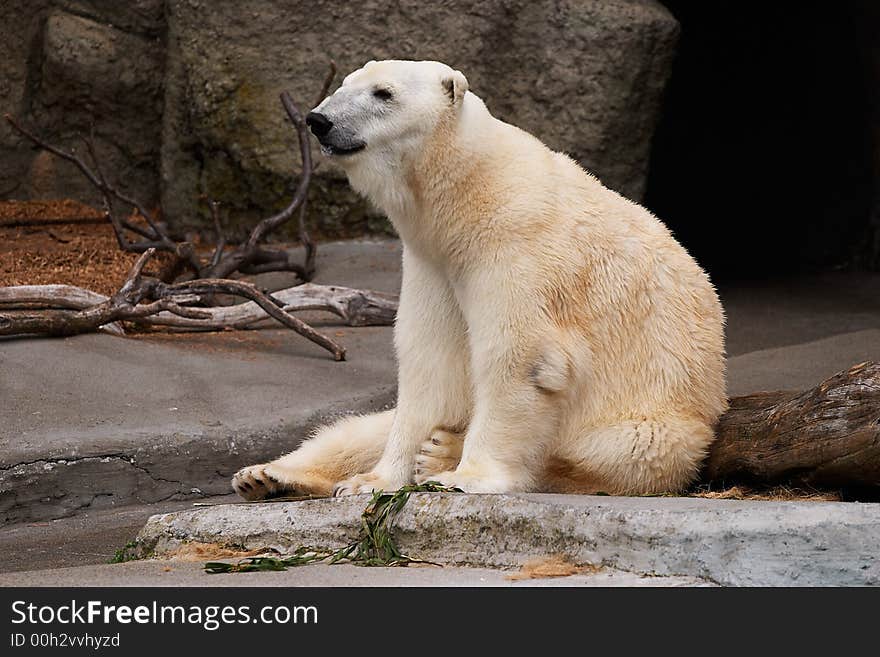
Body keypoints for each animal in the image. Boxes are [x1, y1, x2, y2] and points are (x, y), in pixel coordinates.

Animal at [230, 61, 724, 500]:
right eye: (345, 84)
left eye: (383, 93)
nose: (319, 121)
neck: (471, 192)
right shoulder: (432, 263)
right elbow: (428, 361)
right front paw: (370, 482)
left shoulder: (517, 248)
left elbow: (522, 356)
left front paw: (463, 476)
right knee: (358, 429)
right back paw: (267, 476)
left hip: (657, 423)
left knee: (609, 452)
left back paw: (443, 451)